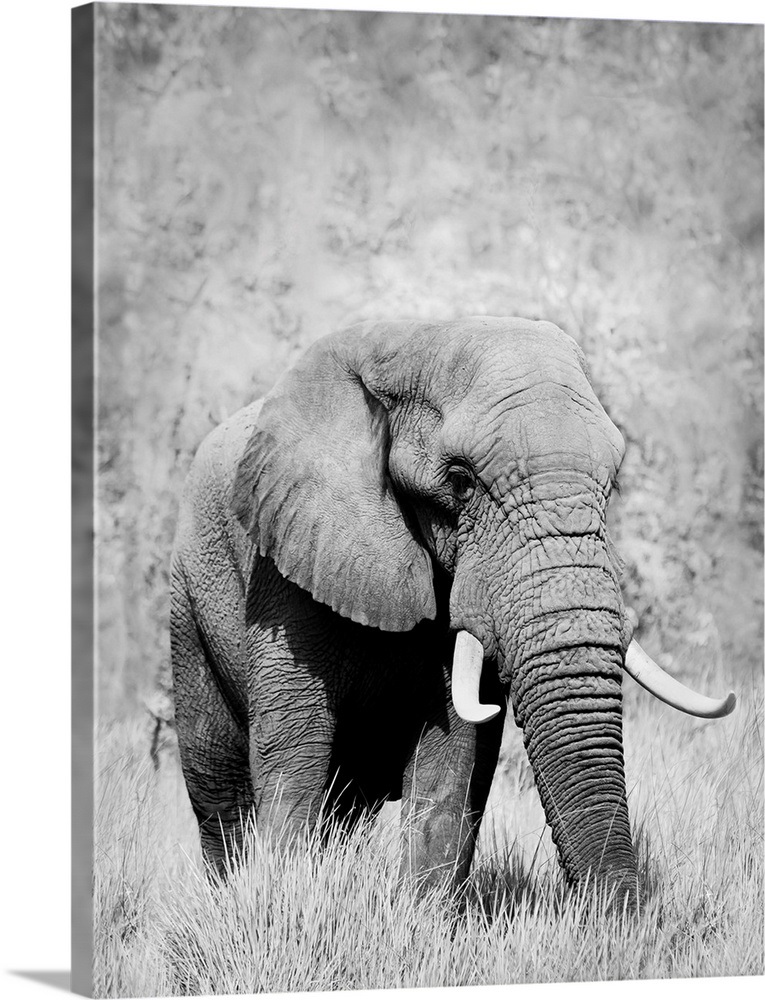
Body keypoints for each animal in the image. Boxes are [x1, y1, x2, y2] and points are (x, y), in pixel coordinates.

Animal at [170, 317, 735, 907]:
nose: (623, 914)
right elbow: (296, 744)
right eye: (461, 480)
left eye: (615, 484)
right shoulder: (285, 564)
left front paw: (422, 915)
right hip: (189, 601)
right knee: (217, 784)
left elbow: (454, 754)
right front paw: (283, 900)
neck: (402, 342)